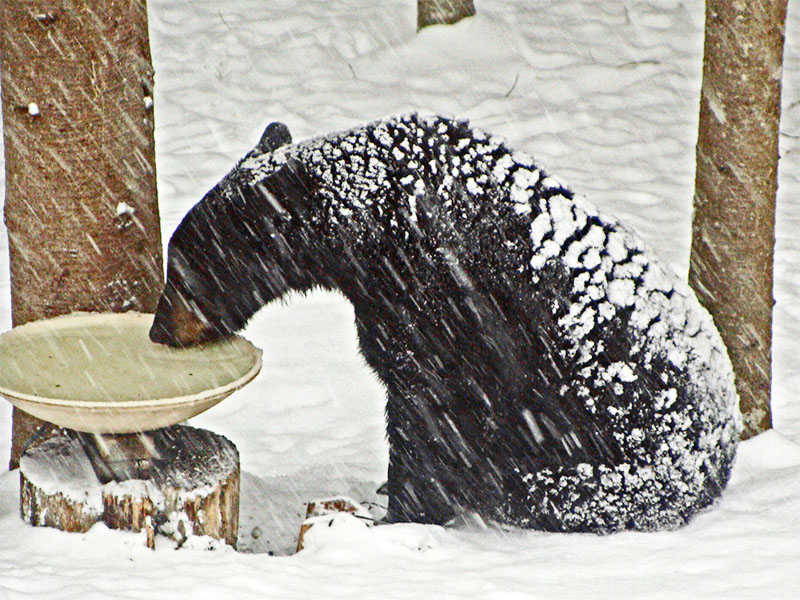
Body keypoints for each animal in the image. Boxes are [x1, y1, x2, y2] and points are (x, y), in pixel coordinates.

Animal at [150, 114, 741, 533]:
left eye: (180, 273)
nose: (158, 331)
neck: (370, 220)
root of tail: (724, 446)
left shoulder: (441, 299)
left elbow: (432, 408)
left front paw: (391, 514)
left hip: (619, 470)